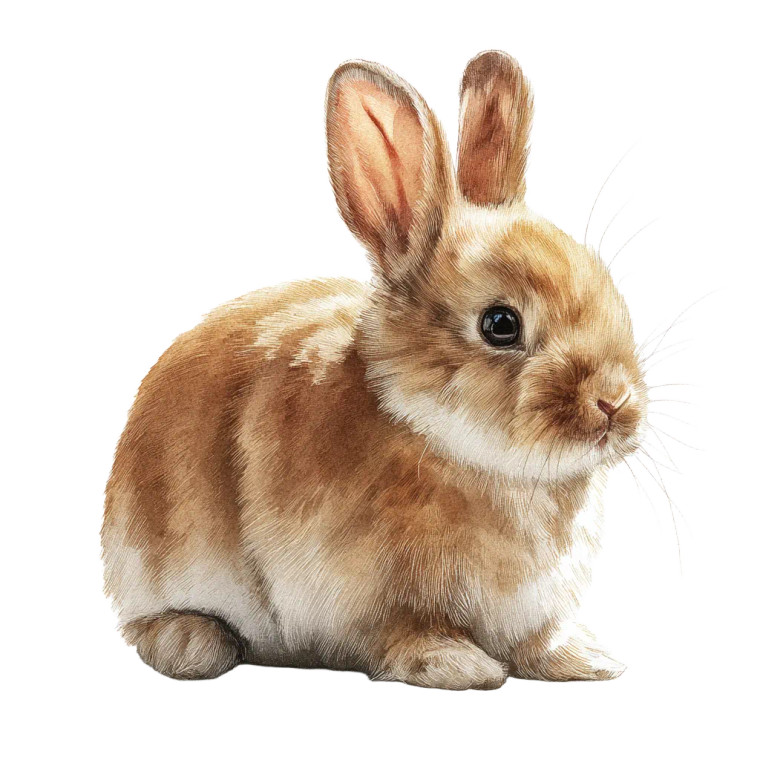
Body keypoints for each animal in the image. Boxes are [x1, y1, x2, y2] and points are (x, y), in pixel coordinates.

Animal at [102, 50, 647, 689]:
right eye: (500, 324)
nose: (615, 402)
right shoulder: (371, 600)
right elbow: (405, 634)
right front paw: (457, 664)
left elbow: (541, 639)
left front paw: (589, 660)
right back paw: (191, 643)